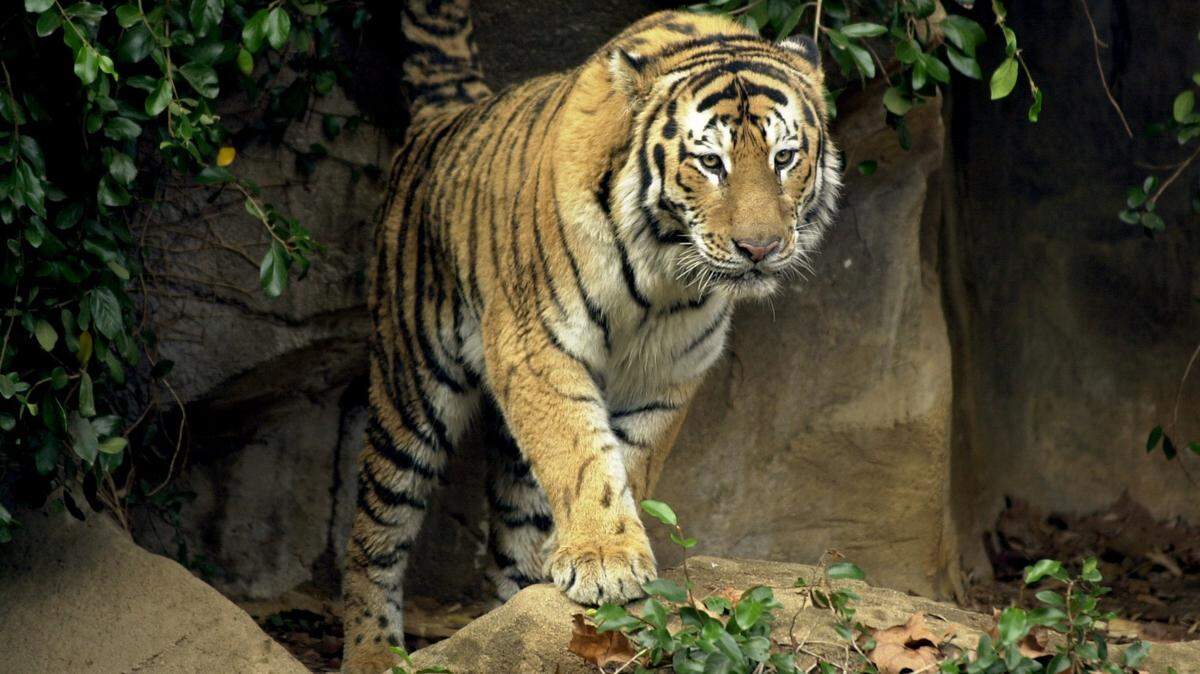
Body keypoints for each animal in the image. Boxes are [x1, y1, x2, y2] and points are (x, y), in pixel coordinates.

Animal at [341, 1, 842, 670]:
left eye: (785, 158)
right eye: (711, 163)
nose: (758, 249)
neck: (663, 274)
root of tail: (451, 115)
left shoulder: (668, 372)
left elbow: (629, 460)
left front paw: (592, 557)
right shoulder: (536, 348)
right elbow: (581, 456)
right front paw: (605, 559)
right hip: (412, 385)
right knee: (376, 532)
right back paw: (374, 651)